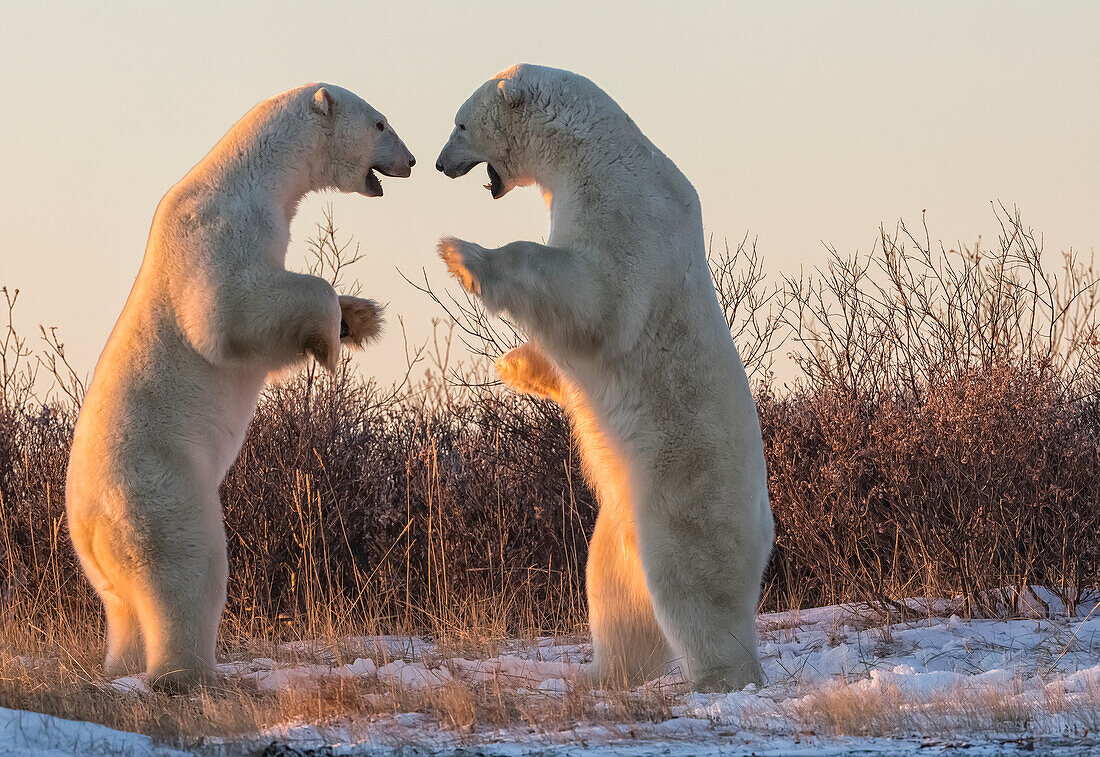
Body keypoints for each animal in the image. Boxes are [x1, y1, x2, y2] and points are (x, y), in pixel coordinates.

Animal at [67, 82, 413, 690]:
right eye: (380, 123)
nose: (412, 161)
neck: (249, 175)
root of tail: (88, 518)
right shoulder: (222, 232)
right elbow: (232, 312)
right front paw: (330, 340)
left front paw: (362, 318)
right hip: (159, 491)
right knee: (188, 570)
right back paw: (195, 674)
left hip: (101, 555)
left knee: (123, 608)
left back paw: (123, 669)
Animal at [435, 64, 774, 690]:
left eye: (460, 123)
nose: (442, 162)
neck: (594, 149)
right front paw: (514, 364)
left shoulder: (625, 211)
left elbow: (594, 294)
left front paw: (460, 253)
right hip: (618, 522)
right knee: (614, 593)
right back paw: (604, 675)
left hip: (685, 490)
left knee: (693, 586)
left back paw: (722, 679)